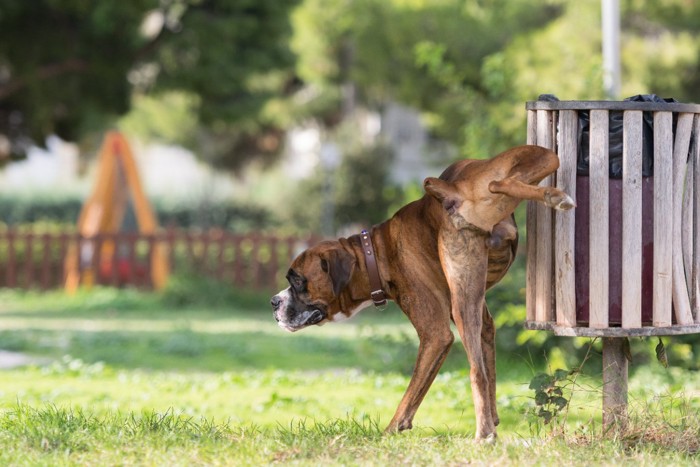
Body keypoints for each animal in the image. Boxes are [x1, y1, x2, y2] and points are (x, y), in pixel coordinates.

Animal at [270, 144, 572, 440]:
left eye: (297, 281)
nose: (274, 301)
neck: (376, 252)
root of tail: (452, 190)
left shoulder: (435, 335)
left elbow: (412, 392)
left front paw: (390, 431)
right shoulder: (483, 321)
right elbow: (490, 367)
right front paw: (494, 418)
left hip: (462, 302)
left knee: (476, 372)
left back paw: (482, 434)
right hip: (539, 159)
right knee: (503, 181)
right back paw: (553, 196)